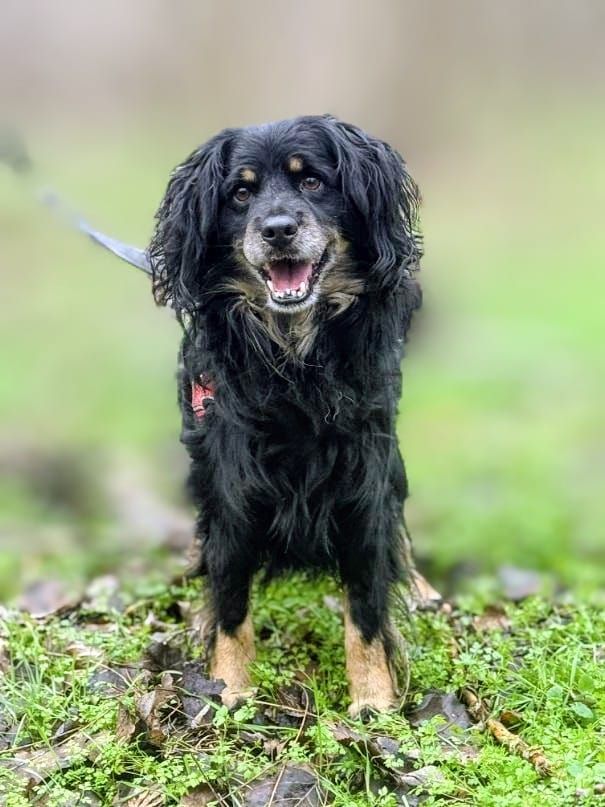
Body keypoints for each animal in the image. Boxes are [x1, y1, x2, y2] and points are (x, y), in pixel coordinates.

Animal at [149, 114, 435, 717]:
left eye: (312, 182)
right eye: (240, 193)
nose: (278, 230)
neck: (294, 357)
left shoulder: (363, 477)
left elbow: (367, 602)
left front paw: (373, 699)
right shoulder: (232, 484)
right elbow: (231, 598)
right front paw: (229, 690)